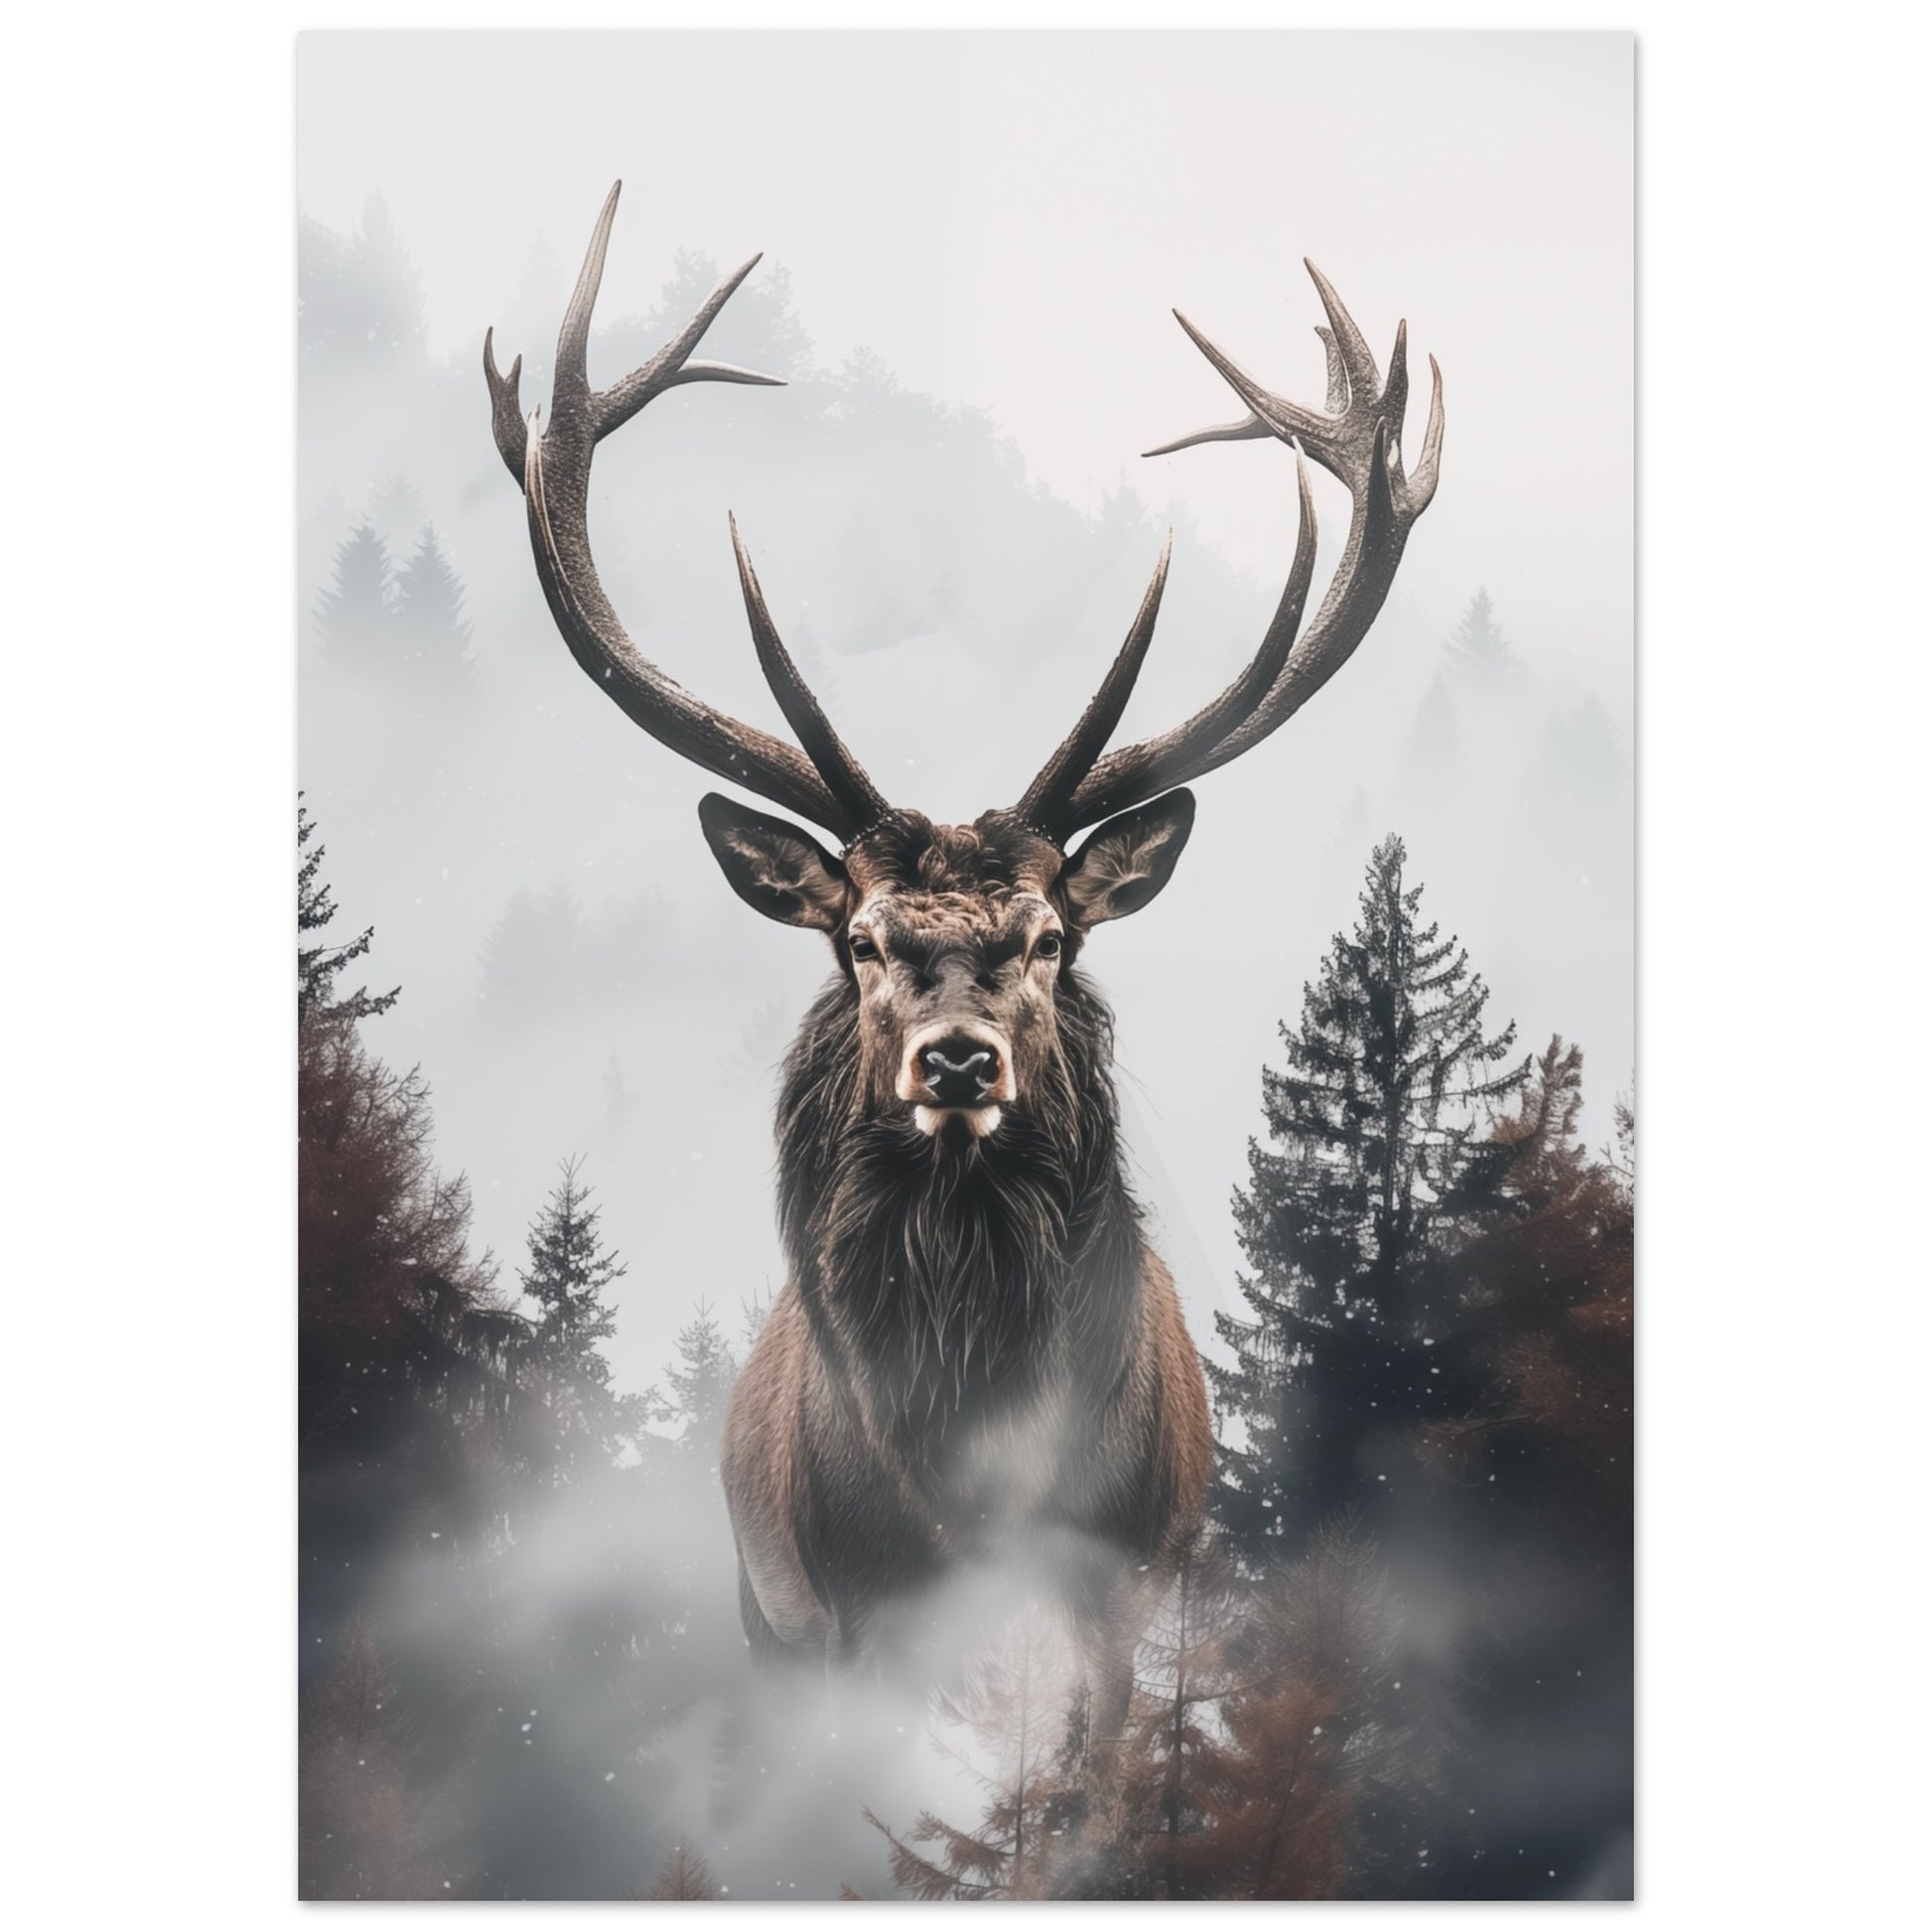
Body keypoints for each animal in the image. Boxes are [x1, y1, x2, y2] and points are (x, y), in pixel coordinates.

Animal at [482, 183, 1442, 1755]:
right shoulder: (835, 1607)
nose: (954, 1057)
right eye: (864, 937)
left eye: (1047, 935)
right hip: (760, 1609)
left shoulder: (1125, 1584)